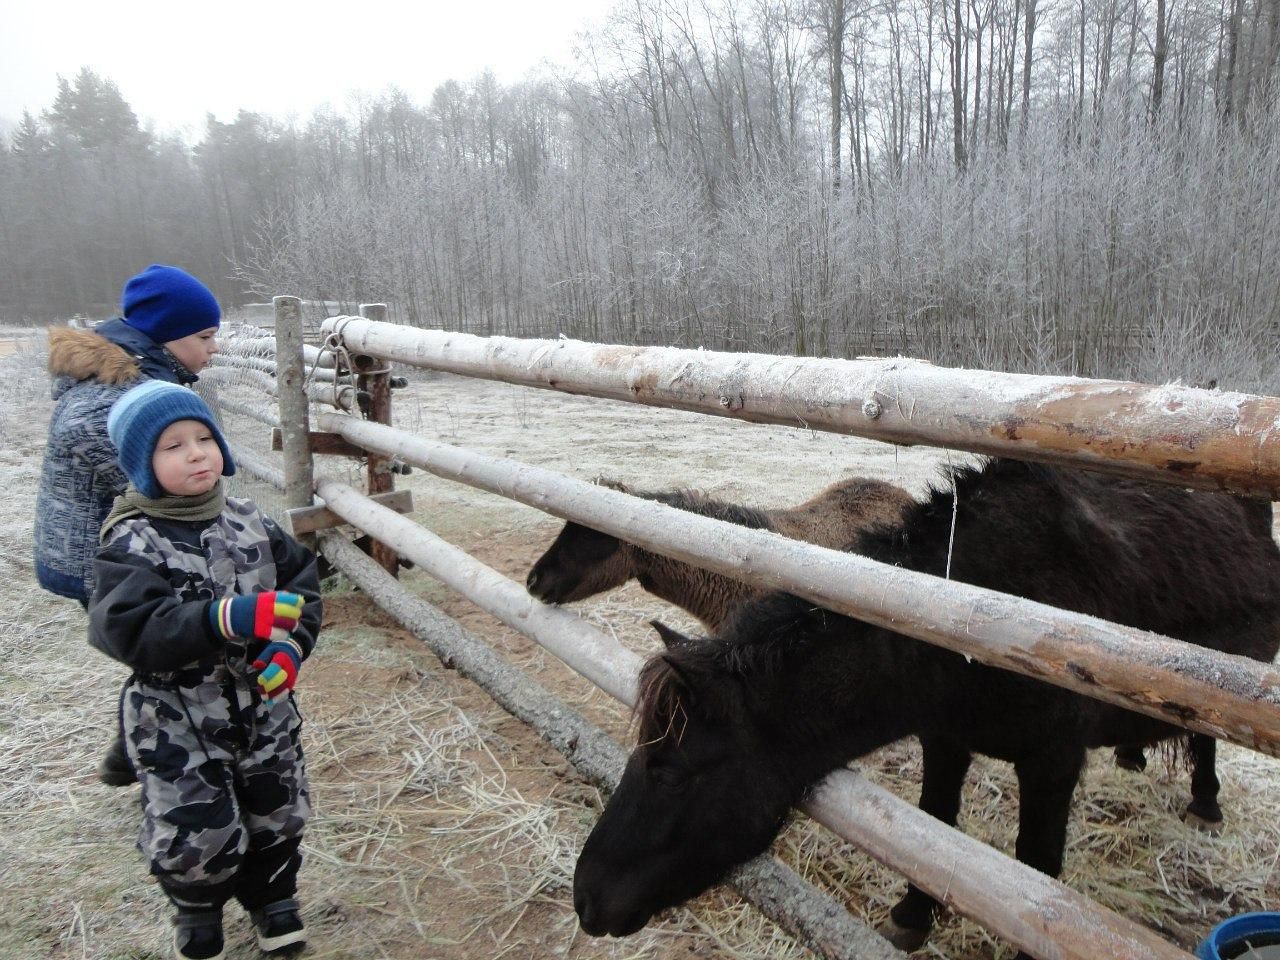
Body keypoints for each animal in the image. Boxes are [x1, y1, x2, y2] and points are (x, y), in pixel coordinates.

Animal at [573, 460, 1280, 960]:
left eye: (673, 770)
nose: (587, 895)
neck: (972, 624)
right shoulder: (945, 740)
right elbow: (932, 832)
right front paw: (911, 917)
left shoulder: (1051, 765)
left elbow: (1037, 877)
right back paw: (1135, 756)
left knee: (1205, 734)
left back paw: (1206, 801)